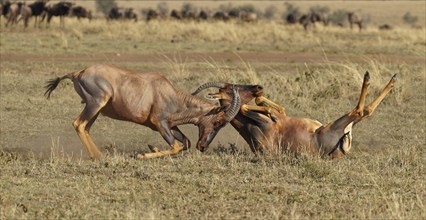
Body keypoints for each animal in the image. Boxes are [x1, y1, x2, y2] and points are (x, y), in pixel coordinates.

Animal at [45, 63, 243, 160]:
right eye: (218, 122)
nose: (203, 146)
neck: (170, 94)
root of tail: (78, 73)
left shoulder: (168, 126)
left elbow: (184, 143)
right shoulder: (159, 123)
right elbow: (176, 146)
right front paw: (141, 155)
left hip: (96, 109)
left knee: (85, 127)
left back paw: (99, 156)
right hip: (95, 104)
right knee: (78, 124)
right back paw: (99, 156)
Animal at [193, 72, 396, 160]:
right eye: (230, 88)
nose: (258, 87)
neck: (251, 130)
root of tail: (338, 151)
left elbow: (268, 105)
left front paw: (271, 109)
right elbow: (243, 108)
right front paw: (270, 113)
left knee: (364, 111)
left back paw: (391, 80)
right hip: (334, 125)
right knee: (361, 111)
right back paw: (371, 77)